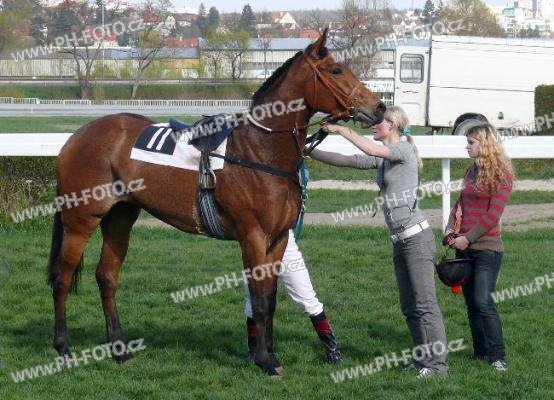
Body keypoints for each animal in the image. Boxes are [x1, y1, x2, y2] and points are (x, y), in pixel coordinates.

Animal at [46, 29, 385, 376]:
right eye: (336, 70)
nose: (380, 107)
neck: (258, 150)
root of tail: (77, 137)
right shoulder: (253, 236)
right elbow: (259, 300)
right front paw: (265, 360)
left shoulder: (278, 238)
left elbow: (271, 298)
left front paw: (270, 353)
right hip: (80, 220)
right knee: (62, 278)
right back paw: (63, 348)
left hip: (120, 216)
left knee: (107, 277)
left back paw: (119, 349)